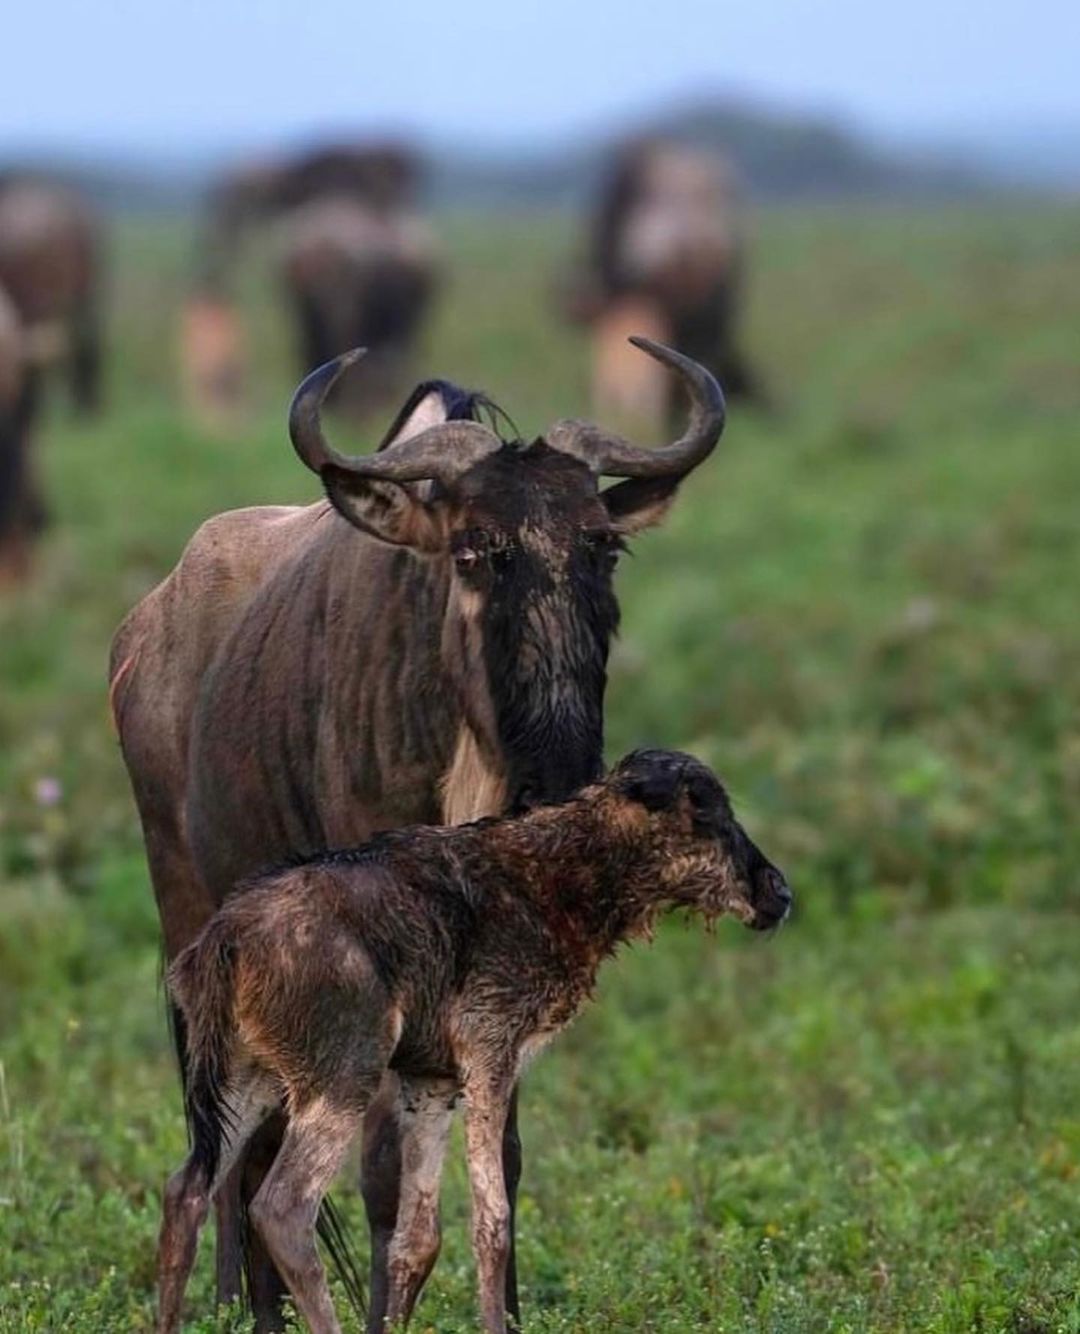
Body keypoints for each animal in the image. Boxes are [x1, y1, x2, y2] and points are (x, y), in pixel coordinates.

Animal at [156, 752, 789, 1334]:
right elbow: (493, 1222)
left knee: (186, 1188)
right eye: (704, 811)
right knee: (282, 1206)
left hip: (249, 1073)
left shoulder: (430, 1077)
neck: (576, 897)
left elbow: (418, 1239)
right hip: (343, 1069)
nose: (778, 891)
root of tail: (220, 945)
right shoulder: (490, 1044)